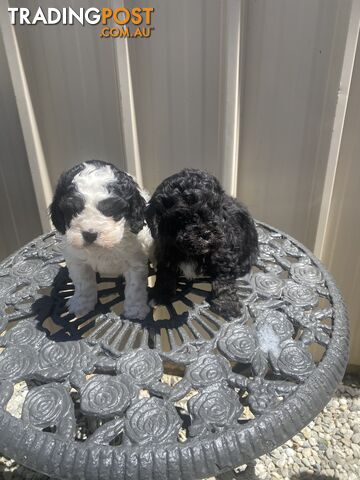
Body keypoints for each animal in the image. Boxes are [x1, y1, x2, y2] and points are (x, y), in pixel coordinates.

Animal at [50, 159, 151, 320]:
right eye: (73, 209)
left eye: (111, 208)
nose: (90, 234)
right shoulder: (77, 261)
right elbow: (83, 284)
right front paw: (81, 304)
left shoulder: (135, 261)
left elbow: (135, 288)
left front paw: (135, 310)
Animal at [146, 169, 258, 318]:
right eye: (182, 217)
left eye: (214, 212)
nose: (206, 233)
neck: (191, 253)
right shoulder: (165, 253)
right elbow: (165, 276)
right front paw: (160, 295)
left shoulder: (223, 255)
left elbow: (224, 282)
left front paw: (226, 304)